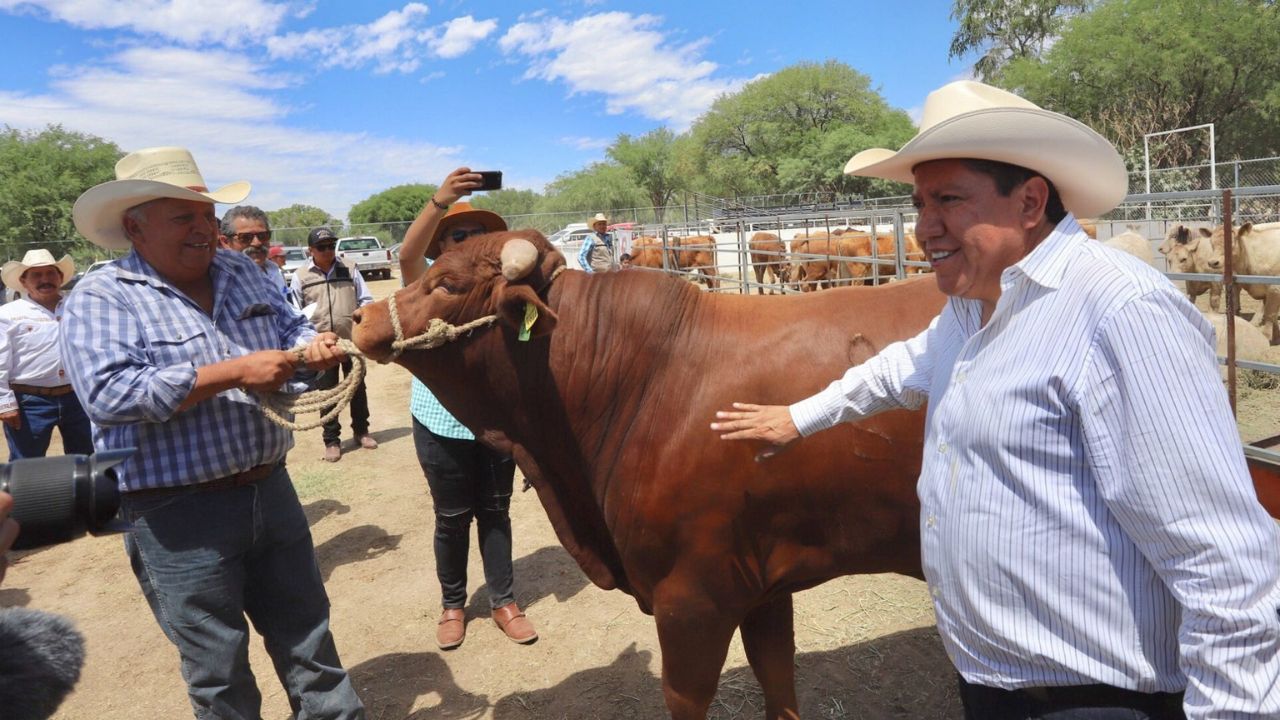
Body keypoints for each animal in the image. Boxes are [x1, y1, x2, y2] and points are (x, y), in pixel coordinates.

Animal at [348, 229, 942, 717]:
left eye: (447, 283)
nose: (360, 319)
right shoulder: (765, 584)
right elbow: (777, 677)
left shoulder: (692, 597)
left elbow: (687, 694)